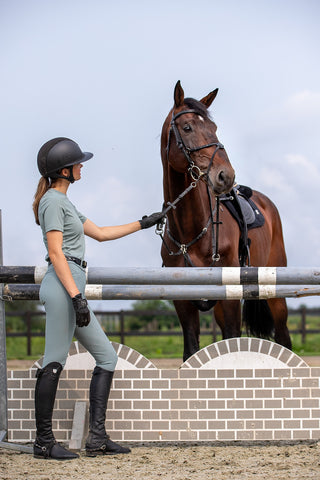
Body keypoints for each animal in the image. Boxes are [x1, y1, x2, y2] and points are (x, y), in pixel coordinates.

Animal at [160, 81, 292, 360]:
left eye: (214, 128)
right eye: (187, 127)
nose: (226, 175)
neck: (192, 231)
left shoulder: (230, 299)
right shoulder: (183, 302)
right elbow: (191, 350)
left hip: (276, 297)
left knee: (284, 338)